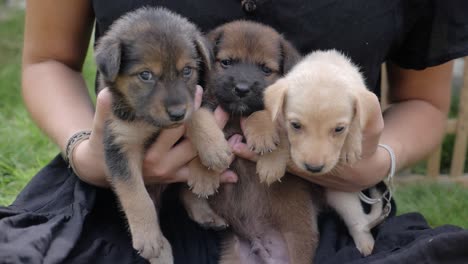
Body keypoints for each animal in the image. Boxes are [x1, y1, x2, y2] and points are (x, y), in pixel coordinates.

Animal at [95, 7, 223, 262]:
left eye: (187, 71)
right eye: (146, 75)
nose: (176, 114)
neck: (150, 122)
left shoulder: (199, 96)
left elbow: (198, 112)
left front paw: (212, 152)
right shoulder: (119, 144)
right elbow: (135, 195)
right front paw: (148, 238)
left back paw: (207, 213)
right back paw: (161, 251)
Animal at [181, 20, 324, 264]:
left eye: (266, 69)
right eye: (227, 62)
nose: (242, 89)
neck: (235, 117)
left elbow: (264, 112)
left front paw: (268, 152)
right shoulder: (202, 106)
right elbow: (201, 121)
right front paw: (204, 171)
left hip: (299, 240)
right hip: (233, 256)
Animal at [247, 49, 382, 256]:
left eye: (339, 129)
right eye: (296, 125)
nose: (314, 168)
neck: (323, 66)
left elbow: (356, 121)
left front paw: (350, 147)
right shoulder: (281, 119)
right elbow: (280, 136)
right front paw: (271, 163)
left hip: (342, 196)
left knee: (358, 222)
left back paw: (365, 244)